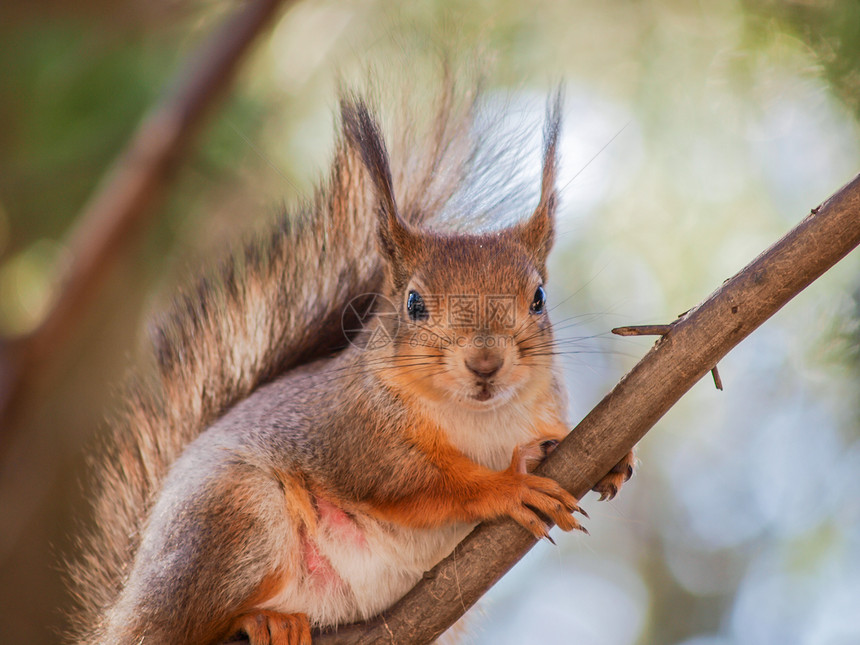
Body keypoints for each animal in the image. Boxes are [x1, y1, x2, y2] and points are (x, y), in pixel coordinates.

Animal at [69, 83, 632, 640]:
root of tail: (125, 608)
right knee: (184, 625)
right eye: (413, 303)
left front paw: (609, 458)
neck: (480, 414)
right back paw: (262, 619)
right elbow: (416, 482)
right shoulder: (354, 433)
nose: (485, 362)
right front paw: (507, 485)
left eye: (538, 298)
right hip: (234, 515)